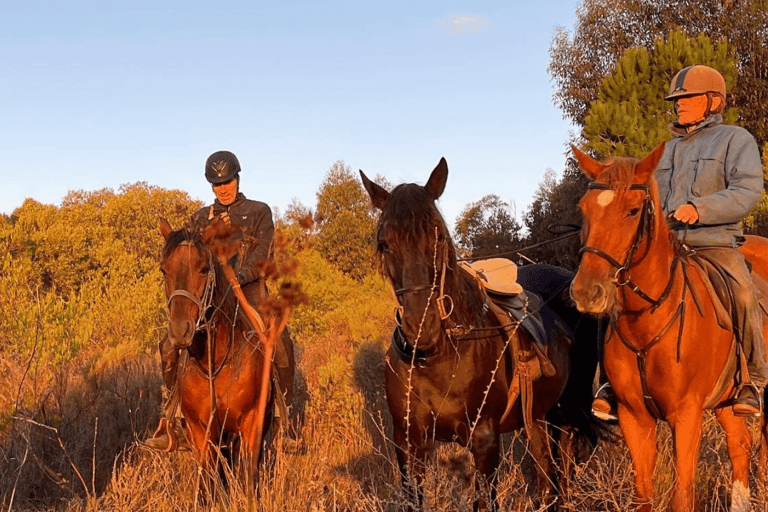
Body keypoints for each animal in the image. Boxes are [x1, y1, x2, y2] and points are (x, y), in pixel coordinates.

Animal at [360, 158, 600, 510]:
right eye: (384, 243)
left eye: (439, 238)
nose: (422, 328)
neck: (440, 357)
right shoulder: (408, 443)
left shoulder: (485, 441)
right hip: (538, 416)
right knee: (547, 475)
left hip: (570, 406)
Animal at [568, 144, 768, 512]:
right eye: (585, 209)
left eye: (633, 210)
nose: (587, 292)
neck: (647, 322)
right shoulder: (634, 418)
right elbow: (643, 495)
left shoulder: (686, 416)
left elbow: (682, 495)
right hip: (726, 402)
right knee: (740, 444)